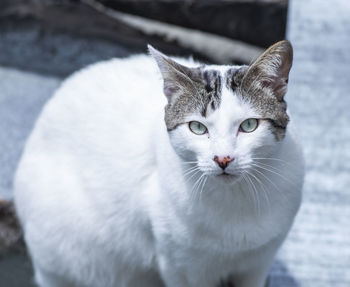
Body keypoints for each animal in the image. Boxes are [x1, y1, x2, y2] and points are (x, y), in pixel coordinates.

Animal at [13, 40, 304, 287]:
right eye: (198, 127)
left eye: (249, 125)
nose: (223, 158)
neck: (236, 200)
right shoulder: (181, 268)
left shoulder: (259, 263)